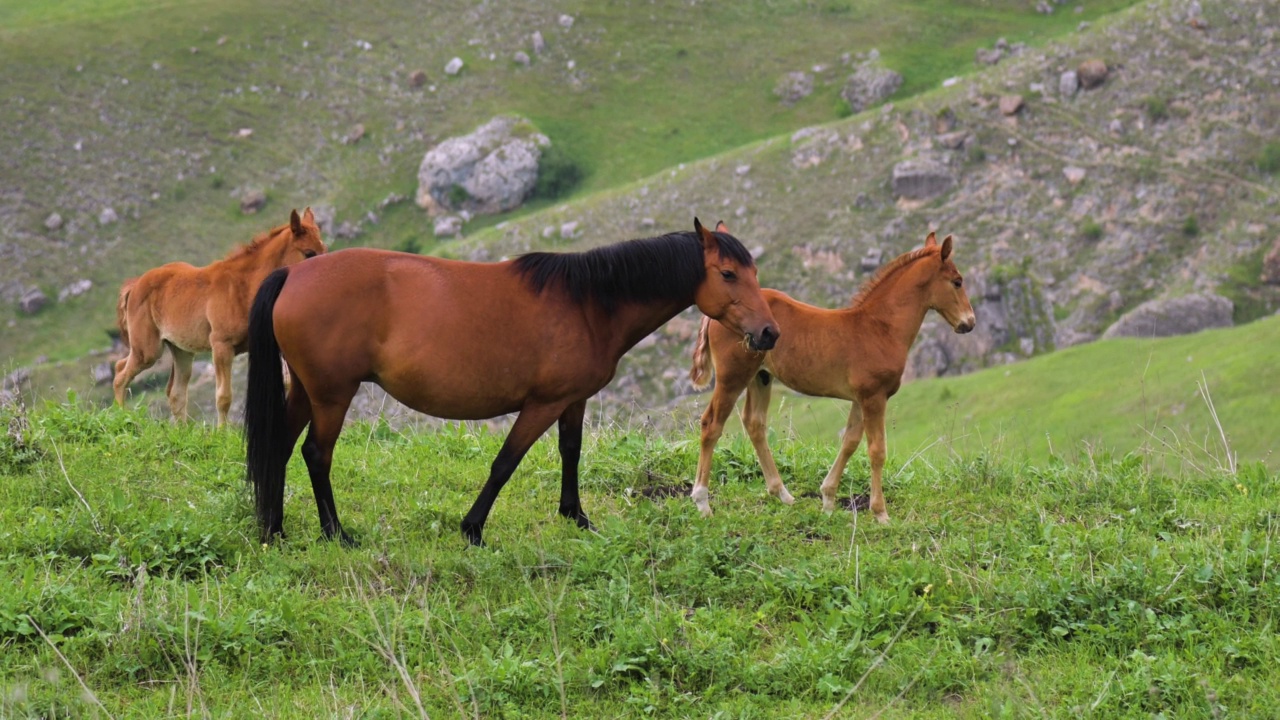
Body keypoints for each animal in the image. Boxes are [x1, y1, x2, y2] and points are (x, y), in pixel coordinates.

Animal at [112, 207, 327, 422]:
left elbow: (290, 384)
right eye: (309, 253)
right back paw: (122, 418)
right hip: (148, 351)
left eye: (324, 250)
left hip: (181, 350)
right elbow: (224, 397)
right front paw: (222, 431)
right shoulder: (221, 345)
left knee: (176, 393)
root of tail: (136, 284)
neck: (243, 287)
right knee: (120, 374)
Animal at [241, 219, 778, 543]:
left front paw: (575, 516)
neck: (589, 303)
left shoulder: (572, 401)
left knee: (280, 448)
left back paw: (275, 529)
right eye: (728, 273)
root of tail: (292, 274)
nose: (770, 332)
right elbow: (505, 463)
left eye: (753, 270)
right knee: (316, 454)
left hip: (305, 391)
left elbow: (570, 452)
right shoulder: (542, 404)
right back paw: (335, 533)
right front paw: (472, 529)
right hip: (332, 394)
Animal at [696, 230, 972, 520]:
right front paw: (880, 513)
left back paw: (782, 494)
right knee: (711, 424)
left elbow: (850, 442)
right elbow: (877, 451)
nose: (969, 322)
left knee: (754, 423)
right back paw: (702, 502)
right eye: (957, 281)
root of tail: (715, 315)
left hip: (760, 377)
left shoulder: (861, 398)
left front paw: (828, 499)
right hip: (732, 377)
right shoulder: (874, 397)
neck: (880, 328)